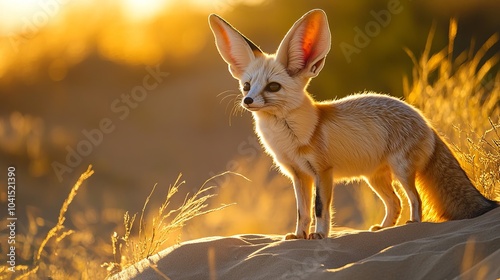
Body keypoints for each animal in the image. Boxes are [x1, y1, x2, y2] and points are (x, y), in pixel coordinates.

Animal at [208, 9, 496, 240]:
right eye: (247, 85)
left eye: (273, 87)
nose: (247, 100)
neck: (293, 137)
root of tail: (425, 120)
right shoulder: (298, 175)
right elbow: (302, 212)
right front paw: (299, 236)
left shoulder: (322, 172)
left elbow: (320, 209)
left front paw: (319, 235)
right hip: (375, 178)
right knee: (395, 203)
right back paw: (384, 228)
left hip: (401, 170)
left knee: (413, 200)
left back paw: (413, 224)